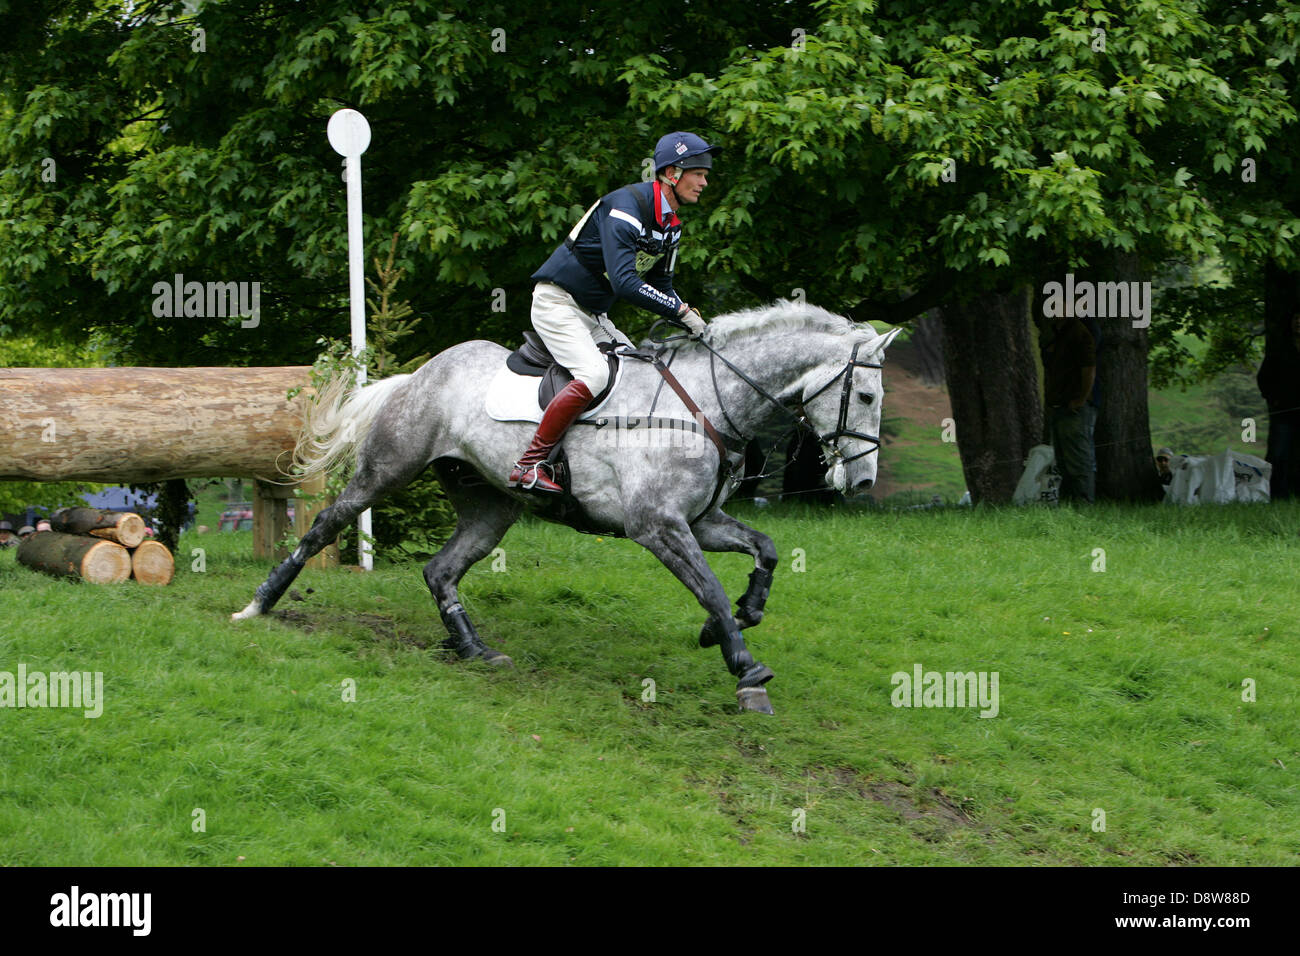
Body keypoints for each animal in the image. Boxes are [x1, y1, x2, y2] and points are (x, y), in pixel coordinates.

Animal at [233, 303, 899, 712]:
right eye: (866, 395)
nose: (863, 481)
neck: (709, 400)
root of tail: (421, 374)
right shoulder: (659, 527)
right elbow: (708, 585)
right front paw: (744, 665)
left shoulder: (701, 521)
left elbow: (765, 550)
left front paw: (735, 620)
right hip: (387, 470)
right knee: (324, 525)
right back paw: (259, 604)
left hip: (490, 507)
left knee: (441, 570)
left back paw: (474, 649)